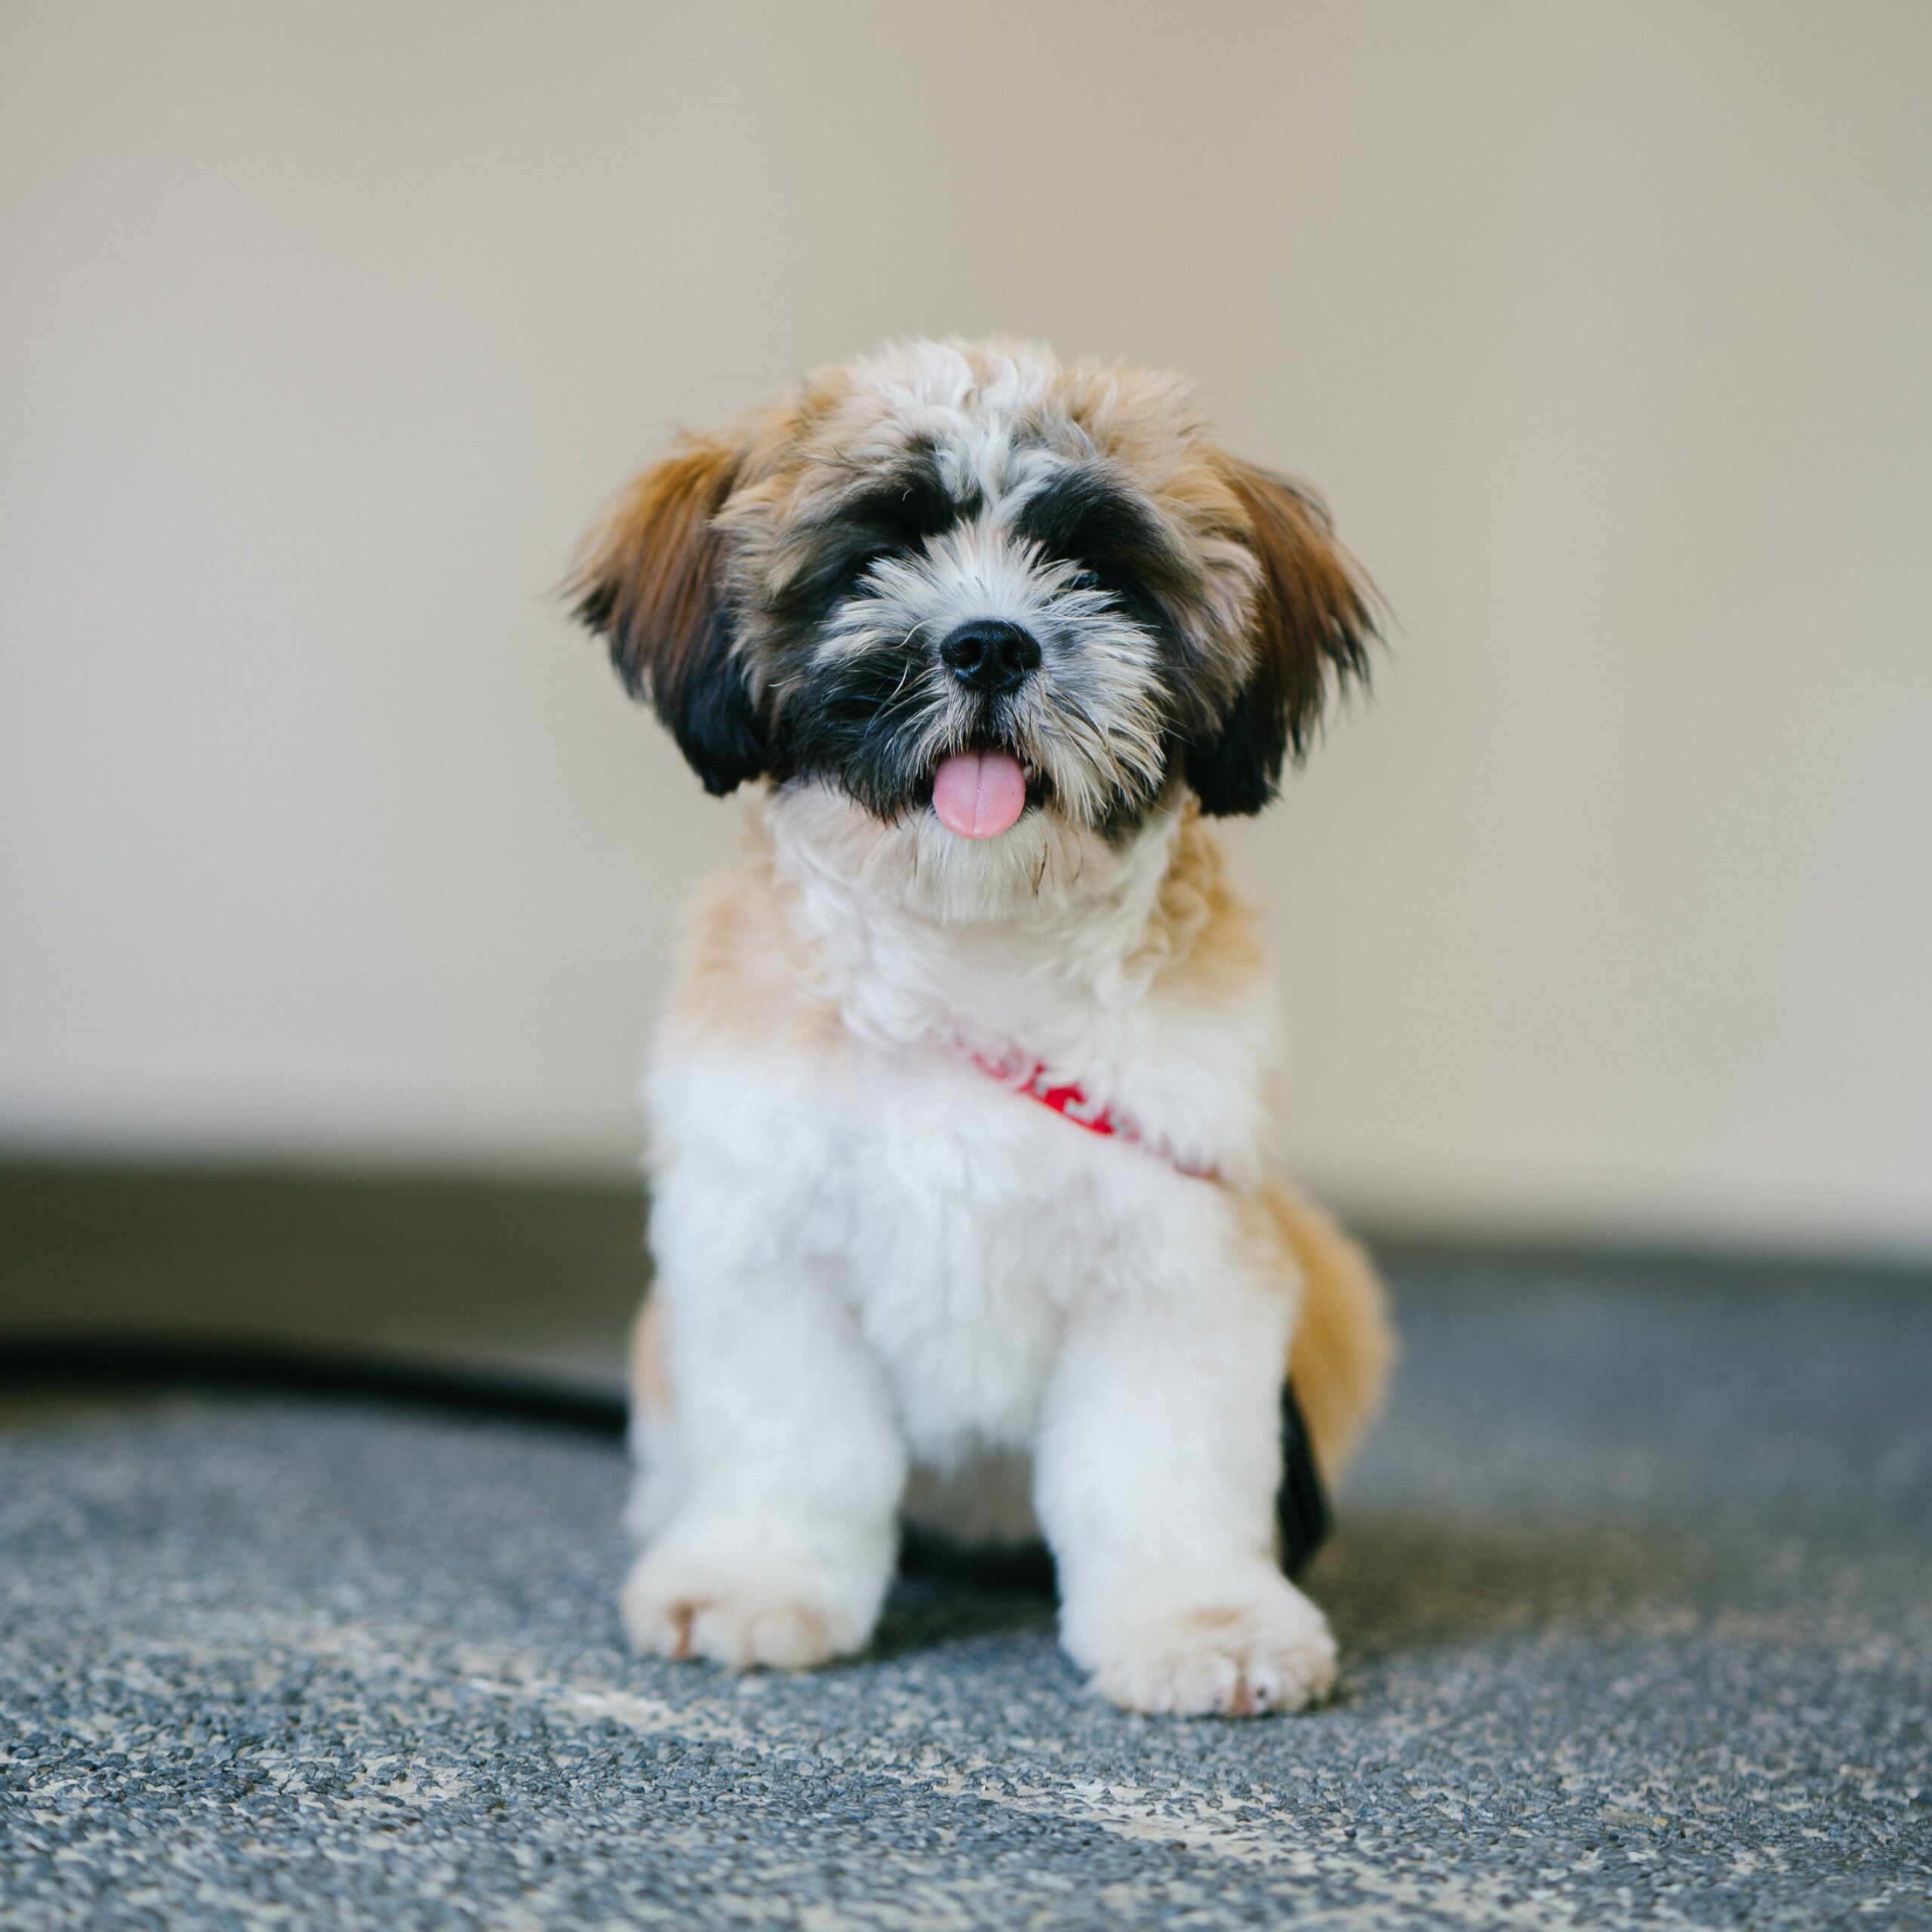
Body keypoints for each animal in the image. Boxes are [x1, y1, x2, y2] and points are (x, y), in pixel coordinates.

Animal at [568, 340, 1391, 1715]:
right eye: (879, 551)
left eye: (1095, 564)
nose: (992, 644)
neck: (969, 954)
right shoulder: (765, 1242)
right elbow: (793, 1443)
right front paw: (753, 1580)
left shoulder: (1183, 1253)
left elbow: (1164, 1469)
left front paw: (1202, 1621)